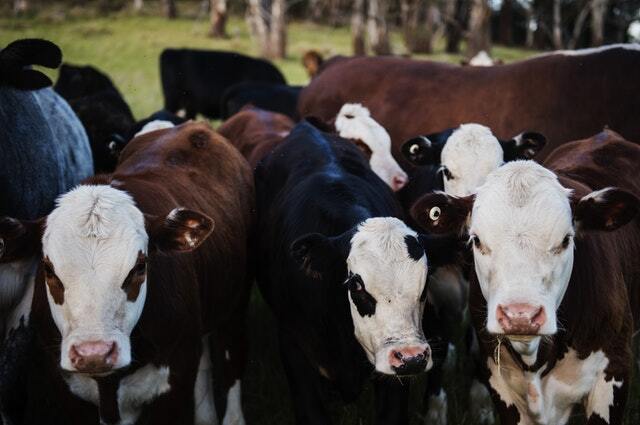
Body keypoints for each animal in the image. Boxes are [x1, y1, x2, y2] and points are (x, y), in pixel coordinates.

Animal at [0, 122, 254, 425]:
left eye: (140, 266)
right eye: (48, 269)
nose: (94, 353)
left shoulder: (176, 386)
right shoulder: (65, 390)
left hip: (236, 305)